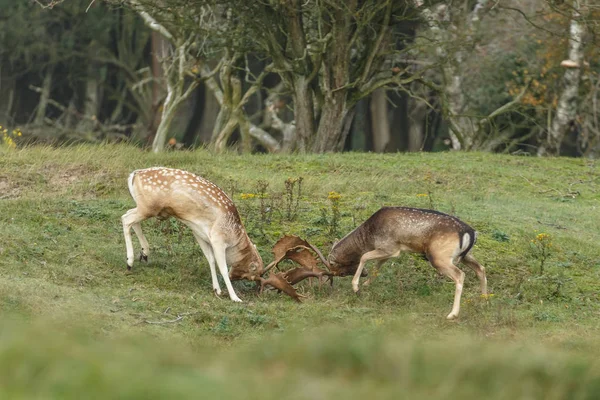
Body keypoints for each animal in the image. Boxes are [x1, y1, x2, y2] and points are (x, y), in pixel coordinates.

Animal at [122, 167, 300, 302]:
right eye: (252, 275)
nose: (235, 278)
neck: (234, 236)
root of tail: (133, 175)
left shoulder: (200, 234)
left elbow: (210, 259)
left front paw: (217, 290)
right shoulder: (218, 239)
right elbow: (222, 267)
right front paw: (235, 297)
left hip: (147, 208)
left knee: (130, 216)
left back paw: (144, 254)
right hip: (150, 207)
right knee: (125, 218)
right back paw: (129, 262)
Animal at [328, 208, 488, 320]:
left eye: (332, 265)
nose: (332, 276)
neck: (370, 236)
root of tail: (471, 232)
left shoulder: (390, 247)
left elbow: (364, 256)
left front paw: (356, 287)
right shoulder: (388, 250)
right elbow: (378, 264)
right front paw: (366, 284)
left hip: (439, 256)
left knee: (460, 274)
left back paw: (452, 314)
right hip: (466, 255)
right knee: (481, 268)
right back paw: (484, 301)